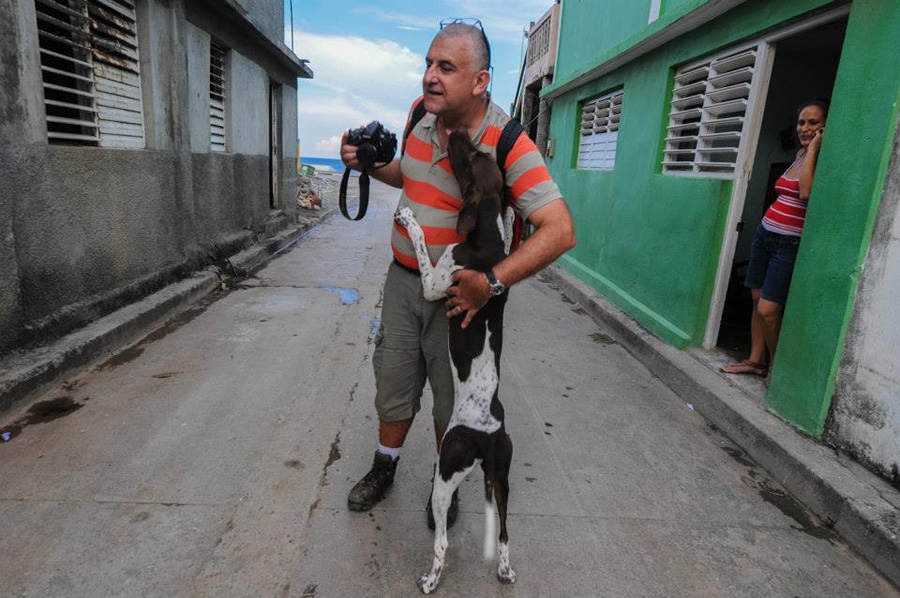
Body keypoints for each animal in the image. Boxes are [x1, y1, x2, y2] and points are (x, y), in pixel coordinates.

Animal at [392, 131, 512, 596]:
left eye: (470, 157)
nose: (459, 134)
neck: (488, 234)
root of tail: (489, 435)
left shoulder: (435, 281)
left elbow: (424, 247)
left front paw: (408, 218)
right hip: (503, 478)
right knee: (505, 534)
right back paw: (505, 570)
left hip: (446, 470)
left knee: (442, 538)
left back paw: (430, 578)